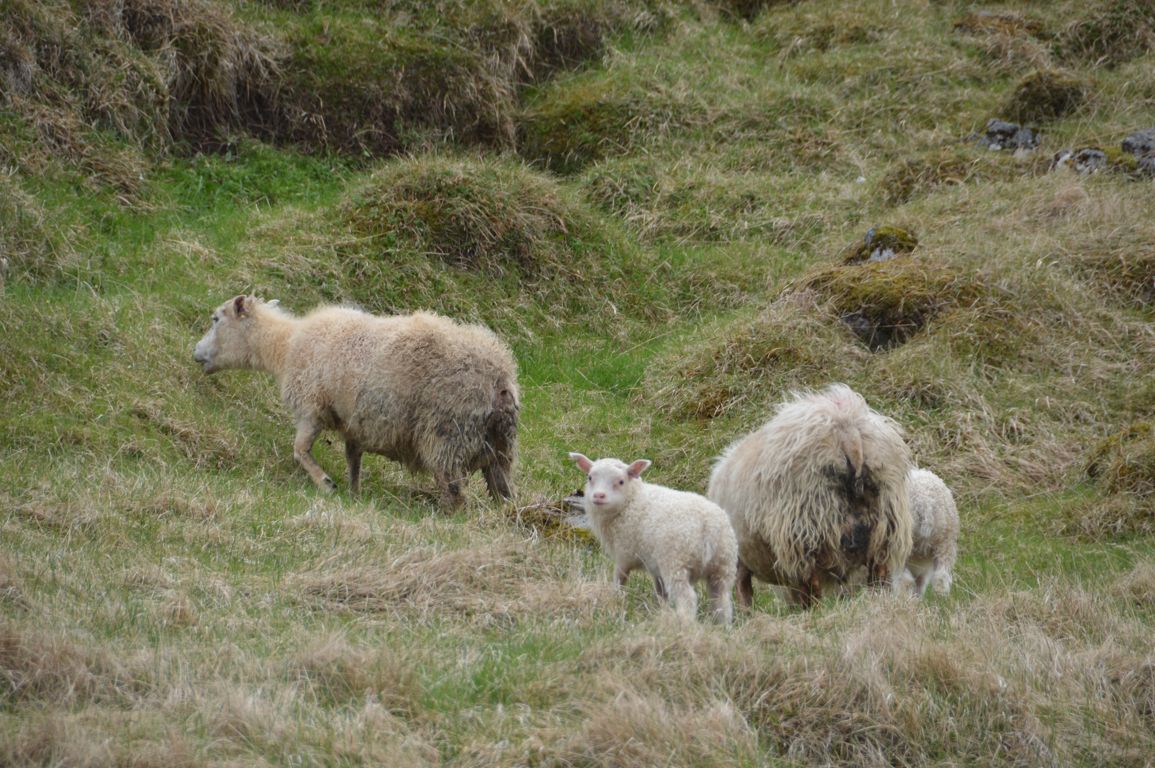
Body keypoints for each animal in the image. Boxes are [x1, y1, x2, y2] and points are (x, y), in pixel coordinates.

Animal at [193, 295, 519, 508]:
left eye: (215, 319)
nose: (195, 352)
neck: (284, 347)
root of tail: (499, 377)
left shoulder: (311, 408)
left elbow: (299, 450)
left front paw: (326, 484)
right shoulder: (355, 424)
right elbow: (353, 461)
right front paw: (354, 496)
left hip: (446, 436)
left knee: (455, 495)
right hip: (500, 447)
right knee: (503, 494)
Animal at [568, 452, 738, 624]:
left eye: (621, 481)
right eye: (589, 477)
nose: (598, 496)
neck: (631, 501)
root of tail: (710, 527)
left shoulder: (624, 553)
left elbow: (620, 579)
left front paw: (615, 598)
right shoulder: (655, 568)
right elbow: (661, 593)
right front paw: (661, 610)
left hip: (676, 563)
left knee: (687, 598)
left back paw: (684, 622)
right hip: (723, 566)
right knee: (722, 602)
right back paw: (723, 625)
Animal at [707, 383, 913, 608]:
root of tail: (849, 432)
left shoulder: (741, 559)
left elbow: (744, 588)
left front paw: (747, 611)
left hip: (803, 526)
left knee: (809, 580)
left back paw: (813, 609)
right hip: (885, 526)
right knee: (879, 574)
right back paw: (878, 601)